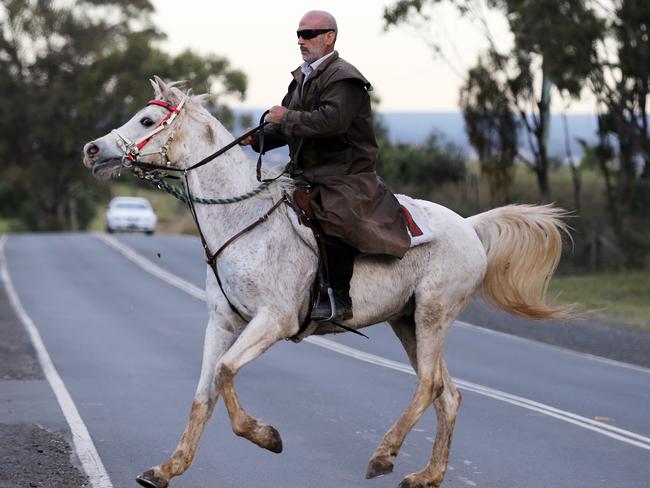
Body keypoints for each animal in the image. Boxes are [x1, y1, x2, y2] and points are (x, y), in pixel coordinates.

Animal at [83, 77, 568, 488]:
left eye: (147, 120)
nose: (92, 149)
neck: (242, 220)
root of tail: (469, 227)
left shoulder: (272, 322)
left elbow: (224, 374)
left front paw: (266, 436)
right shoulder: (222, 322)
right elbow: (204, 395)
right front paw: (166, 469)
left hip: (434, 314)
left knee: (429, 386)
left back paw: (384, 456)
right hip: (408, 322)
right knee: (448, 395)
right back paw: (426, 476)